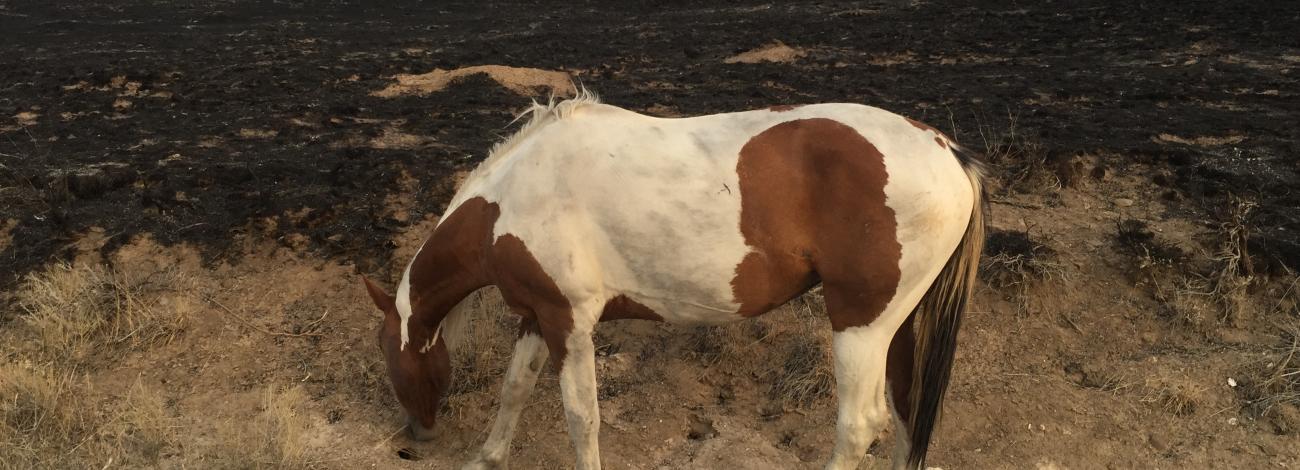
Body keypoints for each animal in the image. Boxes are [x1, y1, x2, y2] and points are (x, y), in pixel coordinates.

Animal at [358, 88, 982, 470]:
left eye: (388, 357)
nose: (417, 434)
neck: (512, 202)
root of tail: (944, 149)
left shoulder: (568, 323)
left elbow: (582, 416)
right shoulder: (538, 315)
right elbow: (515, 390)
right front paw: (486, 457)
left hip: (861, 324)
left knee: (859, 424)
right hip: (900, 327)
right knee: (905, 413)